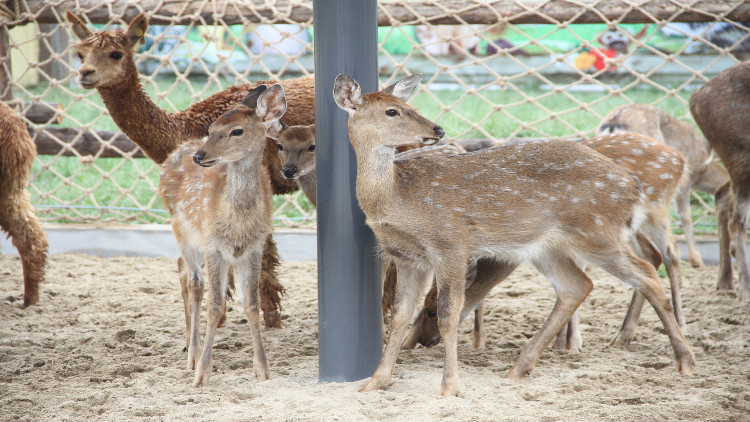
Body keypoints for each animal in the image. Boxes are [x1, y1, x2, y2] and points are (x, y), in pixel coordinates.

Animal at [160, 83, 286, 386]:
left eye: (236, 131)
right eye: (212, 127)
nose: (200, 156)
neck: (236, 223)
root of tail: (176, 151)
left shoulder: (253, 248)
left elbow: (251, 304)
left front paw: (263, 370)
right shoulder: (213, 246)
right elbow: (215, 305)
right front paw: (202, 373)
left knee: (184, 272)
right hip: (183, 232)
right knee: (193, 282)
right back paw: (192, 355)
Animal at [406, 134, 692, 350]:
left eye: (431, 310)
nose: (422, 340)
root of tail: (681, 159)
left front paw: (570, 343)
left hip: (649, 215)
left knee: (669, 253)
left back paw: (679, 329)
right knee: (653, 256)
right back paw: (625, 335)